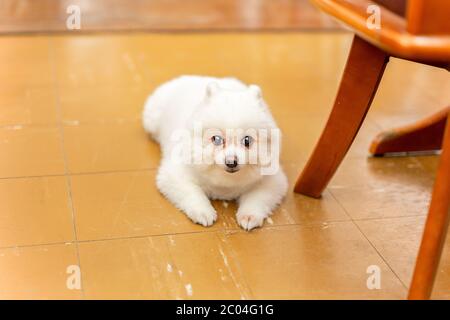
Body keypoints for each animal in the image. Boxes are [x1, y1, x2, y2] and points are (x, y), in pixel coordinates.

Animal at [142, 75, 286, 230]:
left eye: (247, 140)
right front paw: (203, 211)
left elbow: (257, 198)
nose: (231, 162)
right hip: (151, 120)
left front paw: (249, 215)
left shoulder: (272, 181)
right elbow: (192, 192)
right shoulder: (173, 175)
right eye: (216, 139)